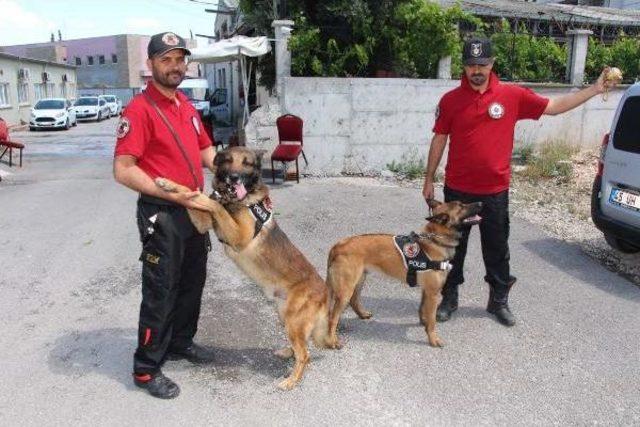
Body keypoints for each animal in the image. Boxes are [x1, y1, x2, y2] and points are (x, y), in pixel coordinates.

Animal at [154, 148, 330, 392]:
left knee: (305, 354)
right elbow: (193, 195)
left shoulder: (239, 236)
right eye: (228, 160)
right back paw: (288, 352)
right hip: (284, 315)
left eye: (247, 163)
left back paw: (291, 380)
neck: (237, 199)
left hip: (292, 319)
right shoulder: (201, 222)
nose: (234, 178)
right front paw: (168, 185)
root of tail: (324, 291)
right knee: (301, 345)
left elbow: (211, 203)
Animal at [324, 200, 480, 348]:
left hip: (358, 281)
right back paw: (332, 341)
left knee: (354, 300)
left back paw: (362, 314)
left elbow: (422, 310)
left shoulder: (426, 291)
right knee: (333, 317)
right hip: (346, 289)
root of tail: (338, 245)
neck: (435, 240)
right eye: (461, 206)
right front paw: (433, 338)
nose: (480, 203)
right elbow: (432, 320)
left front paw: (424, 323)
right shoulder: (433, 293)